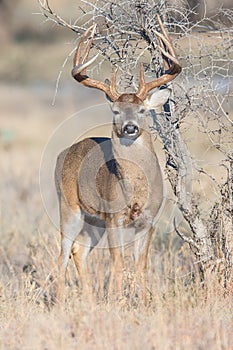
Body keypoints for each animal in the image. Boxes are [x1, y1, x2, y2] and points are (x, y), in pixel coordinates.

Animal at [55, 15, 182, 302]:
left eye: (142, 110)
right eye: (115, 111)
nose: (129, 128)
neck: (135, 191)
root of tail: (63, 153)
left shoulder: (149, 220)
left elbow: (140, 265)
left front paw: (143, 303)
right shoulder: (114, 218)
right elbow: (118, 262)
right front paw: (117, 301)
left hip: (93, 221)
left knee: (79, 250)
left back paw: (89, 300)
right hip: (69, 206)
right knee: (63, 250)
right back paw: (57, 301)